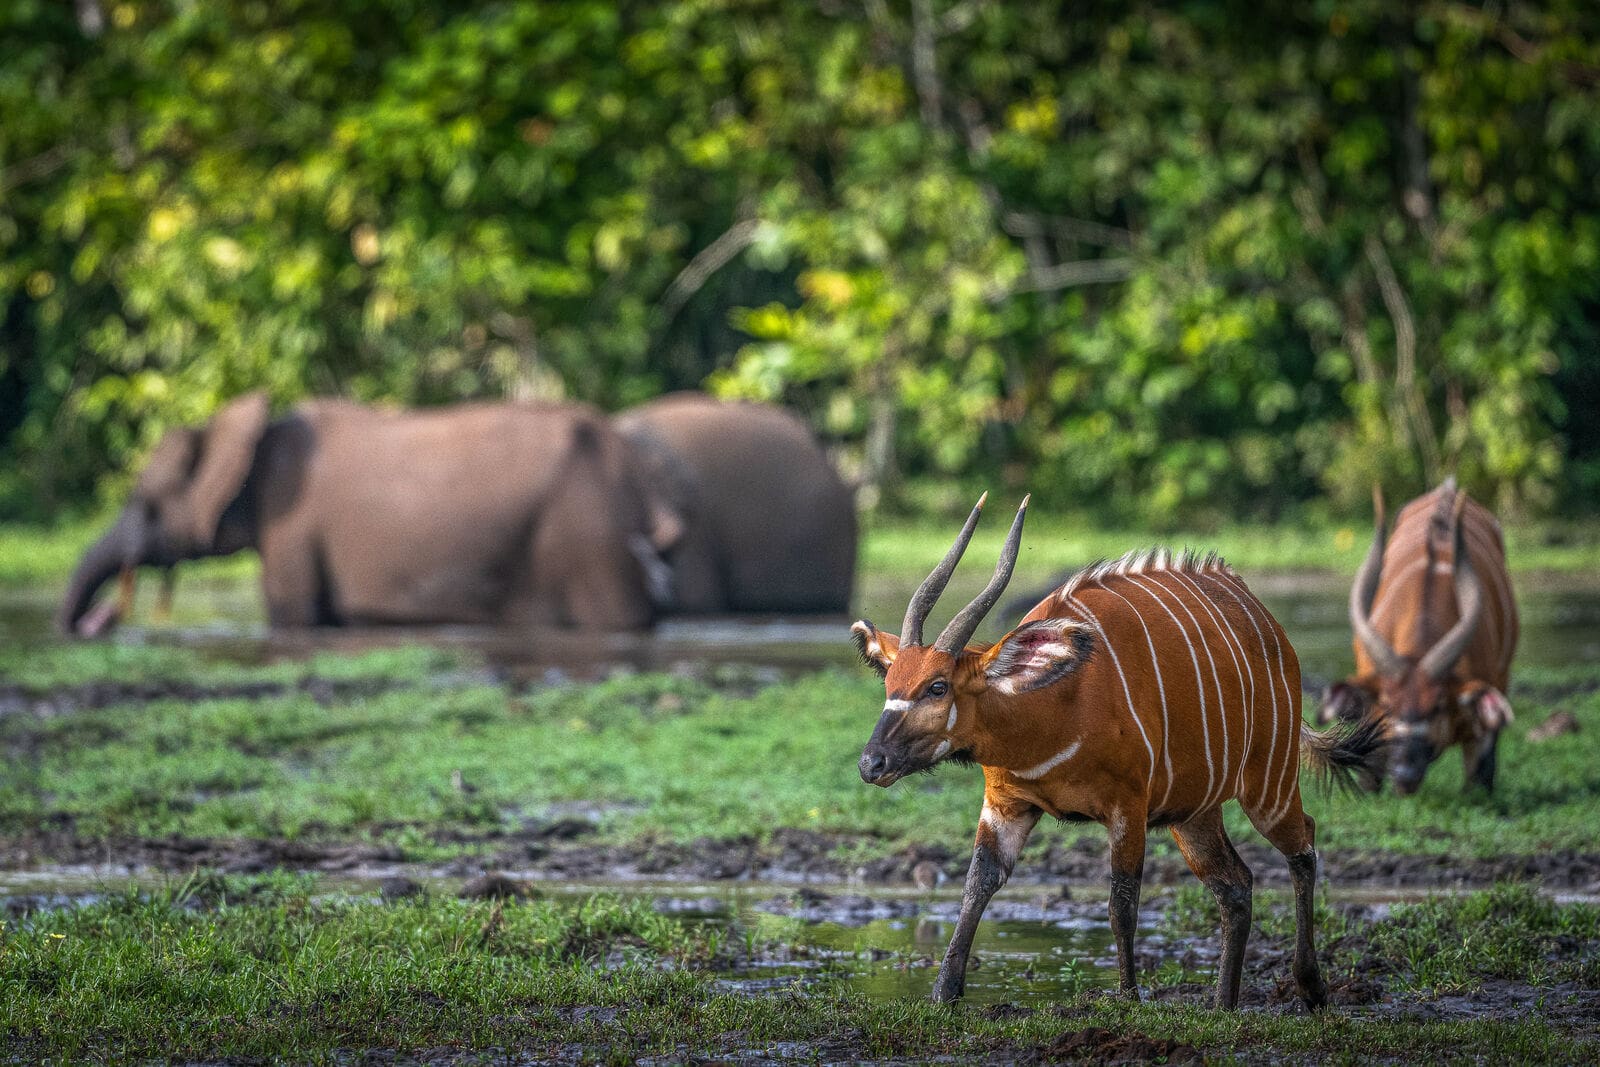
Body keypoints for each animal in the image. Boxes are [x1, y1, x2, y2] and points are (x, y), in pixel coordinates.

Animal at [851, 495, 1388, 1011]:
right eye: (891, 680)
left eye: (938, 686)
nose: (871, 762)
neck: (1051, 707)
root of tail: (1270, 626)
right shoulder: (1006, 803)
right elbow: (977, 886)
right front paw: (944, 993)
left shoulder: (1127, 807)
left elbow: (1122, 903)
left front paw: (1129, 996)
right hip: (1194, 814)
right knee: (1236, 885)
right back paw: (1223, 1005)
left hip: (1267, 788)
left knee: (1304, 846)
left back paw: (1311, 987)